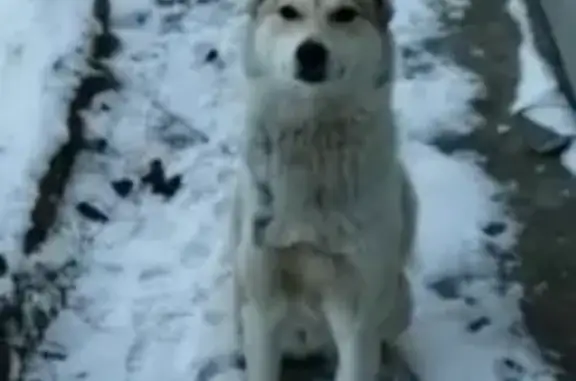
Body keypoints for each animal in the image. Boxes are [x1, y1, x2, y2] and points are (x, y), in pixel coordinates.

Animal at [227, 0, 416, 378]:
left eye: (344, 14)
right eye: (288, 12)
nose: (311, 52)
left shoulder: (357, 319)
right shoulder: (262, 306)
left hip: (401, 297)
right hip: (238, 289)